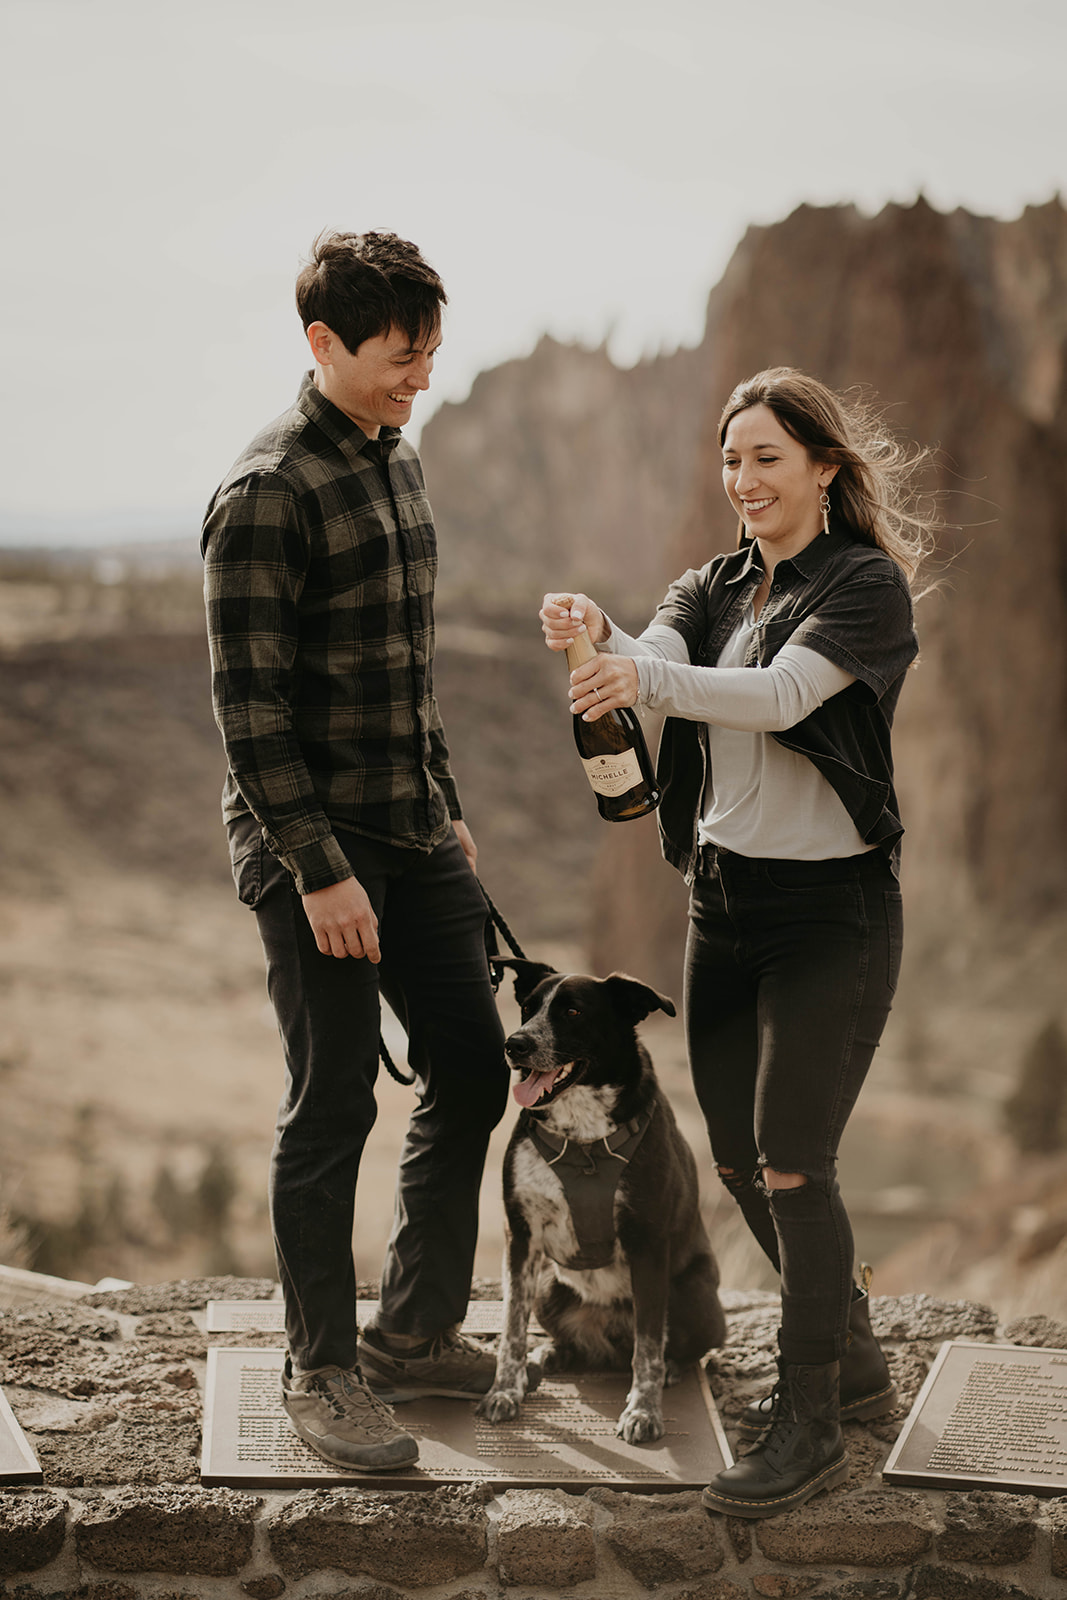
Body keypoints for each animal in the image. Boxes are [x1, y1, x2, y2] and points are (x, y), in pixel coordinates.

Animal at [483, 960, 726, 1452]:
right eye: (527, 1008)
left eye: (573, 1011)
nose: (514, 1044)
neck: (582, 1134)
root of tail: (606, 1339)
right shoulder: (521, 1236)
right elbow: (512, 1326)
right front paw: (505, 1390)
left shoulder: (648, 1244)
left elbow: (648, 1346)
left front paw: (643, 1411)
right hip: (548, 1287)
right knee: (572, 1341)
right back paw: (551, 1354)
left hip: (689, 1293)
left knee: (675, 1348)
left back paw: (672, 1369)